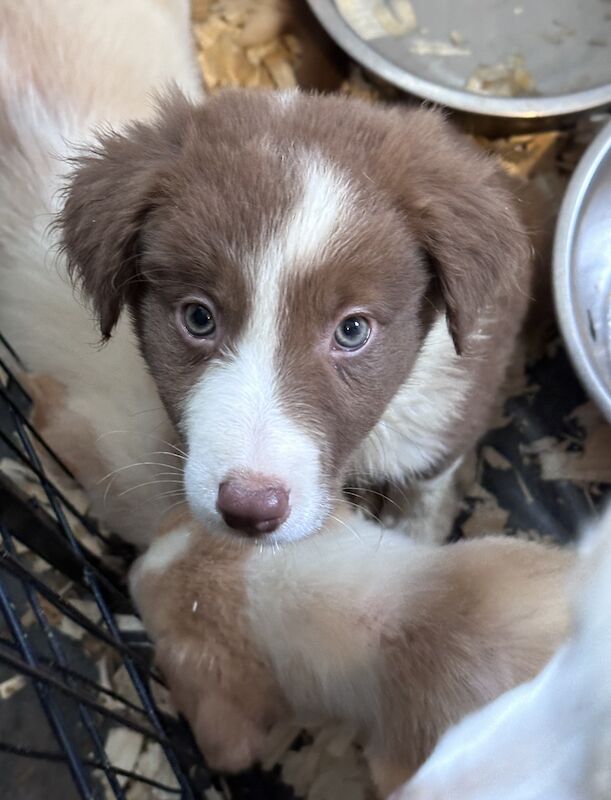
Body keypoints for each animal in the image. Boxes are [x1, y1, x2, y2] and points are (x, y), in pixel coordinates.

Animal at [61, 90, 532, 548]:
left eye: (352, 330)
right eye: (198, 317)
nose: (250, 508)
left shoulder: (444, 418)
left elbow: (425, 493)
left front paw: (419, 535)